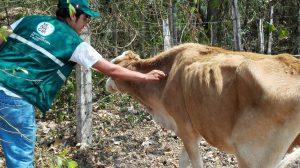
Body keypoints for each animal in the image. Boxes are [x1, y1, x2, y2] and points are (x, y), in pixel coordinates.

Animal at [105, 43, 300, 168]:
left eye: (114, 65)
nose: (105, 83)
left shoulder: (186, 128)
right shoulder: (192, 130)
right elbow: (183, 160)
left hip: (252, 155)